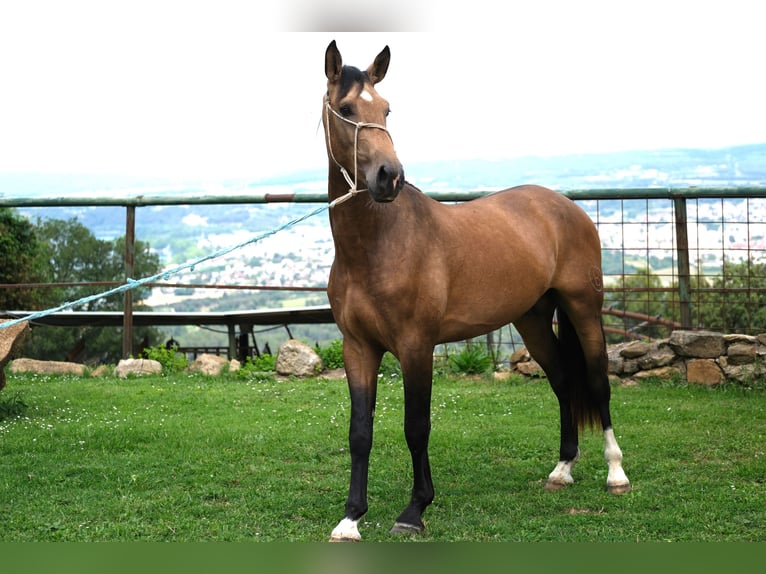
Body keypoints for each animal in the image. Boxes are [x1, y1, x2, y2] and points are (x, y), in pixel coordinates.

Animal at [322, 40, 632, 544]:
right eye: (346, 109)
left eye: (387, 109)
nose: (389, 177)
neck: (377, 246)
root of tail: (564, 206)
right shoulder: (359, 347)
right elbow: (359, 431)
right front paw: (351, 518)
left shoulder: (416, 346)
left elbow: (416, 426)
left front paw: (414, 509)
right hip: (531, 319)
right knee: (563, 382)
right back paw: (562, 469)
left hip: (584, 308)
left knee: (598, 382)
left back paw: (616, 474)